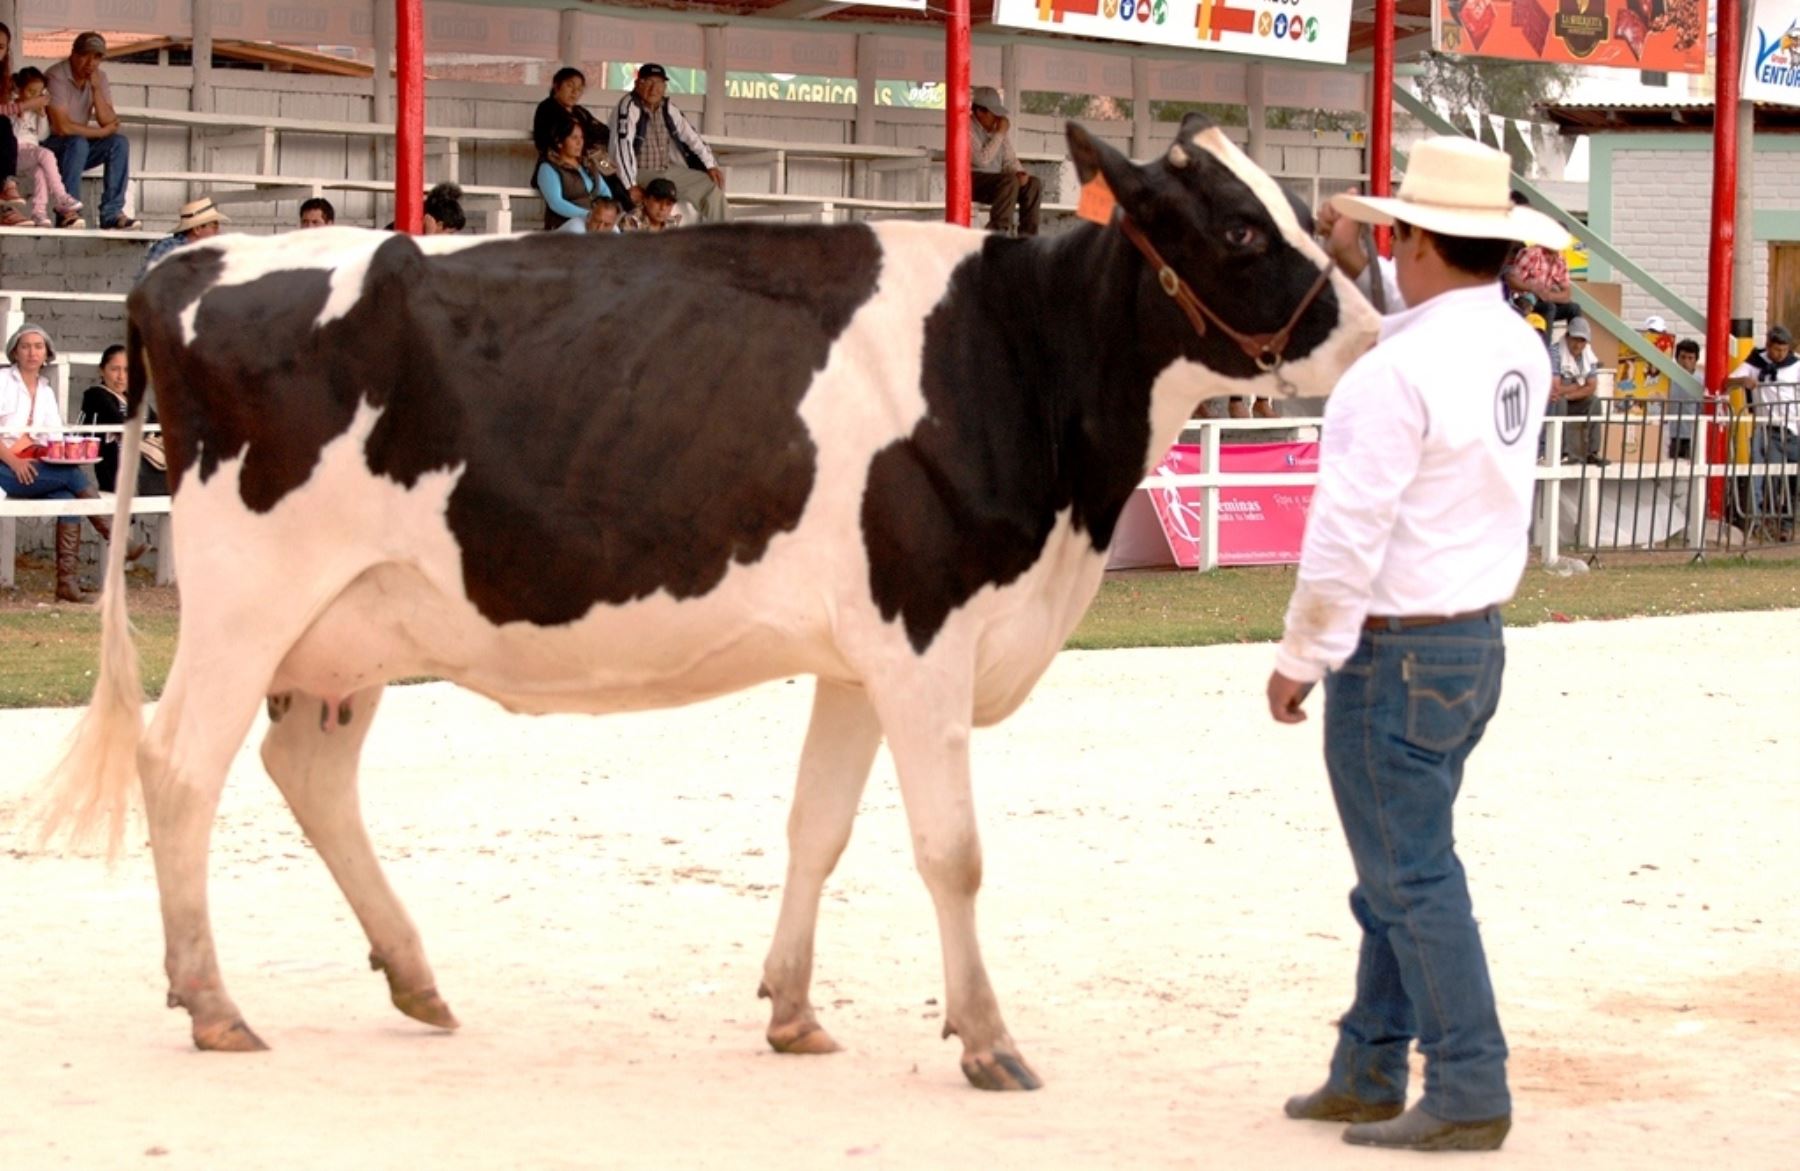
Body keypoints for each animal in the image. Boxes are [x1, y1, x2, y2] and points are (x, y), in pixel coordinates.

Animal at [42, 114, 1368, 1093]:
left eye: (1305, 213)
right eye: (1241, 227)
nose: (1363, 335)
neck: (1021, 366)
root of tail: (188, 265)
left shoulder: (860, 657)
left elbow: (817, 828)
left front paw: (793, 1011)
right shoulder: (925, 635)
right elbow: (952, 850)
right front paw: (990, 1041)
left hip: (355, 628)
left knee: (308, 774)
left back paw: (414, 976)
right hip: (245, 602)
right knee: (181, 767)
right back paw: (213, 1003)